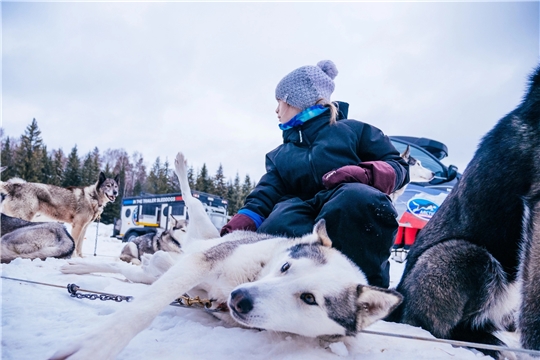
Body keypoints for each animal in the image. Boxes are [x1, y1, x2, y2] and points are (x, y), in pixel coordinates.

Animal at [52, 152, 402, 360]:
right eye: (285, 266)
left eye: (309, 299)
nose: (240, 298)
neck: (250, 274)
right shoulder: (202, 262)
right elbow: (142, 310)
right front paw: (96, 345)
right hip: (199, 228)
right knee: (190, 199)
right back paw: (181, 167)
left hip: (156, 270)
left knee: (127, 270)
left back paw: (77, 267)